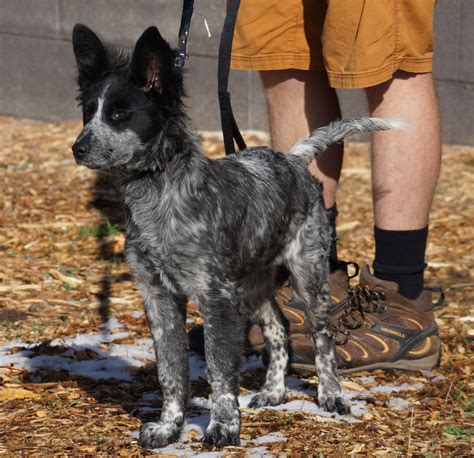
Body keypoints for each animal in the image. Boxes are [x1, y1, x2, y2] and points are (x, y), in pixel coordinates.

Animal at [72, 24, 402, 448]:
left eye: (119, 114)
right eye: (88, 112)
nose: (77, 148)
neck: (161, 193)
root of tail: (292, 160)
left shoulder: (216, 298)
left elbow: (218, 367)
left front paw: (224, 426)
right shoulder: (158, 296)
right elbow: (170, 370)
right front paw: (168, 427)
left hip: (307, 274)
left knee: (322, 336)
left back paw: (332, 395)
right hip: (251, 284)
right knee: (278, 328)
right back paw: (274, 391)